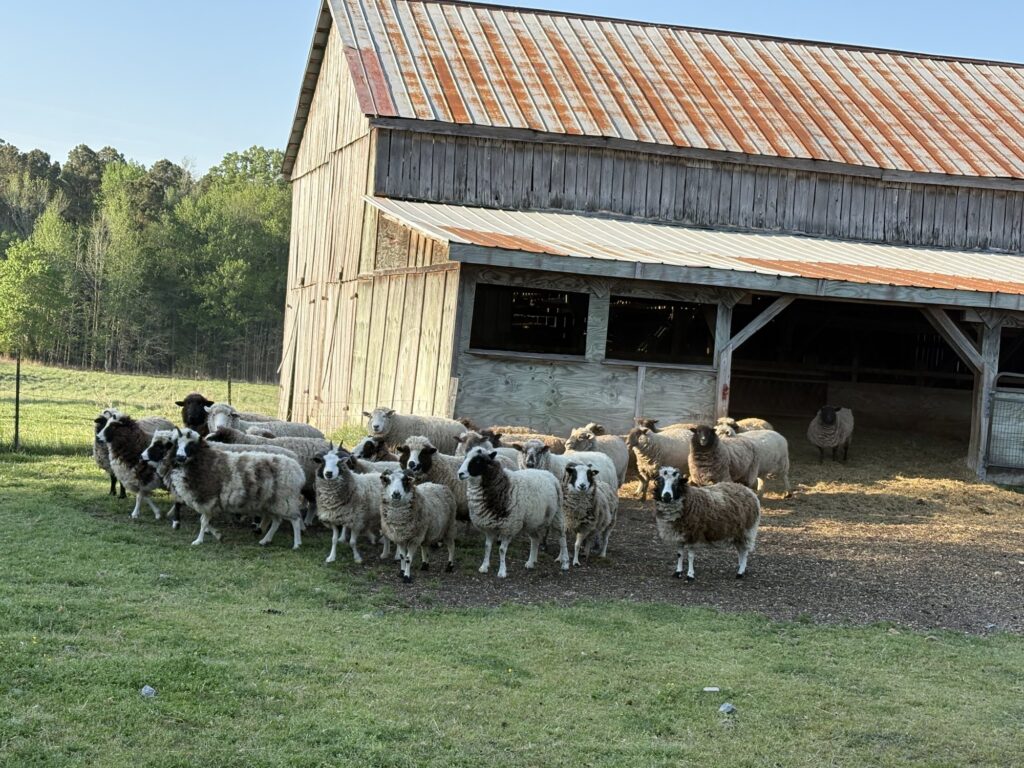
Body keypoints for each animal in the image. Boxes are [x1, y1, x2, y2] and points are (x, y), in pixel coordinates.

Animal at [165, 429, 304, 549]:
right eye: (176, 444)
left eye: (191, 445)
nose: (180, 457)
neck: (203, 460)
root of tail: (297, 469)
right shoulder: (210, 503)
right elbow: (206, 522)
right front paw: (217, 535)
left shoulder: (208, 498)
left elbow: (203, 522)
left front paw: (198, 540)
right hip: (273, 502)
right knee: (276, 521)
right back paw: (265, 540)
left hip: (285, 500)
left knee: (295, 520)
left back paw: (296, 544)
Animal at [456, 446, 569, 578]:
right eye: (465, 457)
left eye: (478, 461)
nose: (460, 474)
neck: (502, 486)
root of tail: (548, 474)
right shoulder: (488, 526)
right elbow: (487, 547)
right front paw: (484, 567)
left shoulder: (509, 527)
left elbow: (501, 550)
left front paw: (501, 572)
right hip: (532, 521)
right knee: (535, 539)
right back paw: (530, 562)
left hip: (557, 514)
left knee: (562, 538)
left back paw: (565, 563)